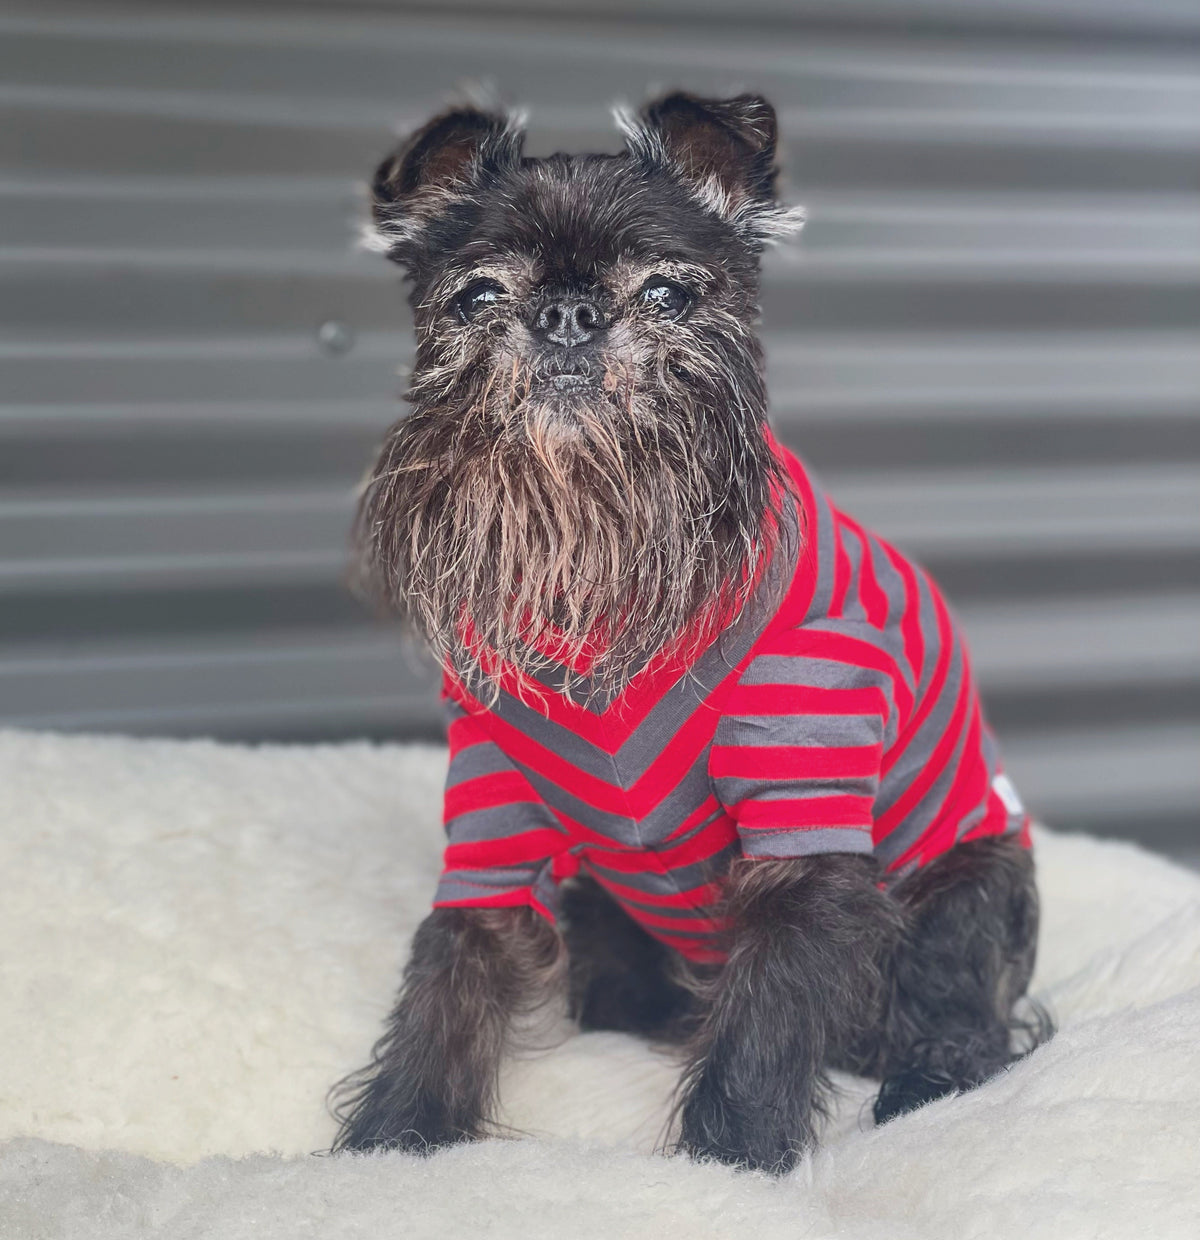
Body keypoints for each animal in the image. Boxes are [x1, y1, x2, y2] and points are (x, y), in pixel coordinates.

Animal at [327, 91, 1051, 1165]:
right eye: (476, 296)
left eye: (667, 292)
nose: (568, 313)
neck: (600, 552)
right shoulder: (493, 825)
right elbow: (447, 979)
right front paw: (391, 1141)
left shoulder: (803, 804)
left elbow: (763, 1028)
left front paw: (729, 1163)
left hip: (968, 886)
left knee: (961, 1011)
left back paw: (927, 1079)